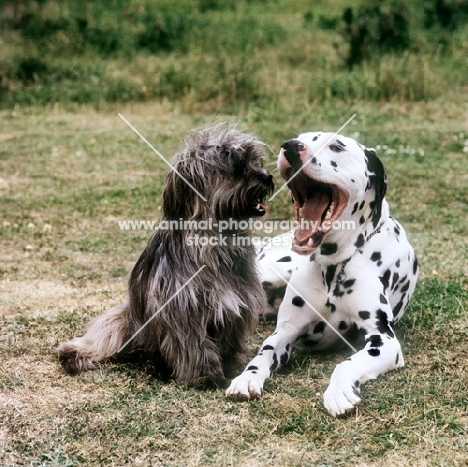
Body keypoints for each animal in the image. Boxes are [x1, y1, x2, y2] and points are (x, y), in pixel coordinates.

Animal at [57, 123, 274, 388]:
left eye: (254, 161)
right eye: (235, 168)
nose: (267, 176)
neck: (213, 243)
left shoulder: (234, 305)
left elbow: (224, 340)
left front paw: (228, 365)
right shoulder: (183, 311)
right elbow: (194, 346)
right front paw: (206, 376)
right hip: (125, 320)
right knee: (105, 339)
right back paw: (75, 354)